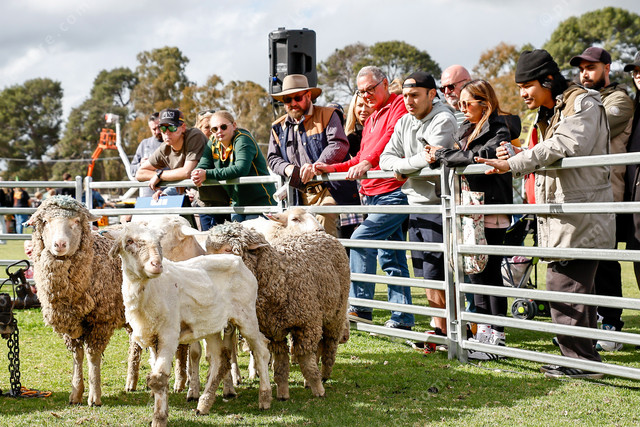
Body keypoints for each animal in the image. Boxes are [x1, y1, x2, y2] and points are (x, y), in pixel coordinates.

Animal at [27, 195, 132, 406]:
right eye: (45, 221)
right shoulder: (71, 324)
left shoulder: (101, 321)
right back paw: (132, 383)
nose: (60, 244)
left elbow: (92, 355)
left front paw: (94, 395)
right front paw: (76, 392)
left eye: (76, 221)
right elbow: (78, 355)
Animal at [109, 222, 271, 426]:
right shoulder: (153, 337)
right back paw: (204, 404)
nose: (157, 265)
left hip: (246, 315)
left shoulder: (169, 335)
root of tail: (237, 260)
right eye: (129, 241)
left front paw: (159, 419)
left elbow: (158, 379)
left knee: (261, 351)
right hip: (211, 325)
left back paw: (264, 398)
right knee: (220, 359)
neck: (150, 291)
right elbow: (155, 376)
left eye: (159, 242)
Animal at [206, 222, 350, 400]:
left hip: (336, 312)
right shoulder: (273, 331)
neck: (278, 276)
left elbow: (306, 362)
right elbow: (281, 363)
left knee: (330, 343)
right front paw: (282, 393)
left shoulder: (306, 324)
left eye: (227, 249)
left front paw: (318, 390)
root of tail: (325, 235)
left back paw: (324, 374)